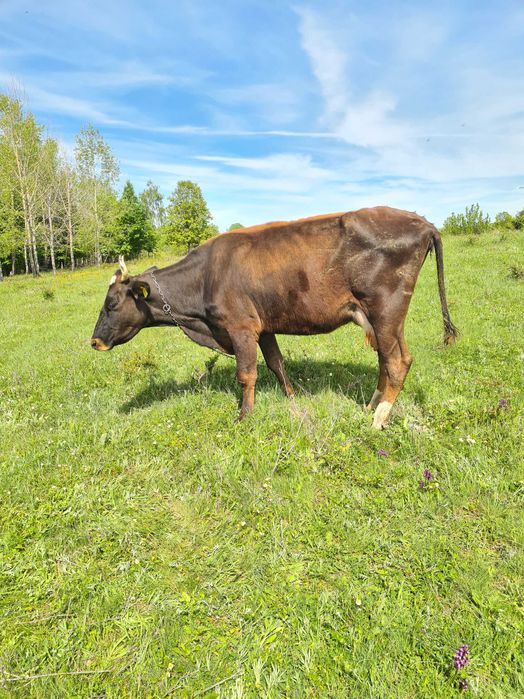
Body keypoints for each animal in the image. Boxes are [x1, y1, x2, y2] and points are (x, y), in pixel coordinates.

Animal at [91, 206, 457, 428]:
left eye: (111, 304)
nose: (94, 341)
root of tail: (424, 223)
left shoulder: (240, 327)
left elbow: (246, 374)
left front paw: (244, 417)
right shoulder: (263, 327)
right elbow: (276, 364)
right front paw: (292, 398)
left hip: (385, 310)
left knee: (397, 362)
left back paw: (378, 418)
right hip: (385, 319)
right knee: (389, 358)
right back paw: (371, 405)